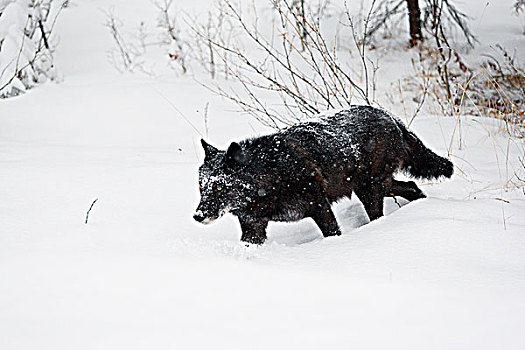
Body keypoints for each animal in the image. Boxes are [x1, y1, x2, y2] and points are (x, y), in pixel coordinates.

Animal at [192, 105, 450, 245]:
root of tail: (390, 116)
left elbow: (332, 233)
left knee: (382, 211)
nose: (198, 216)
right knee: (412, 186)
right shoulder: (252, 228)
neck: (270, 177)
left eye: (218, 187)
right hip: (377, 186)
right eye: (202, 188)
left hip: (370, 190)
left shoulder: (320, 206)